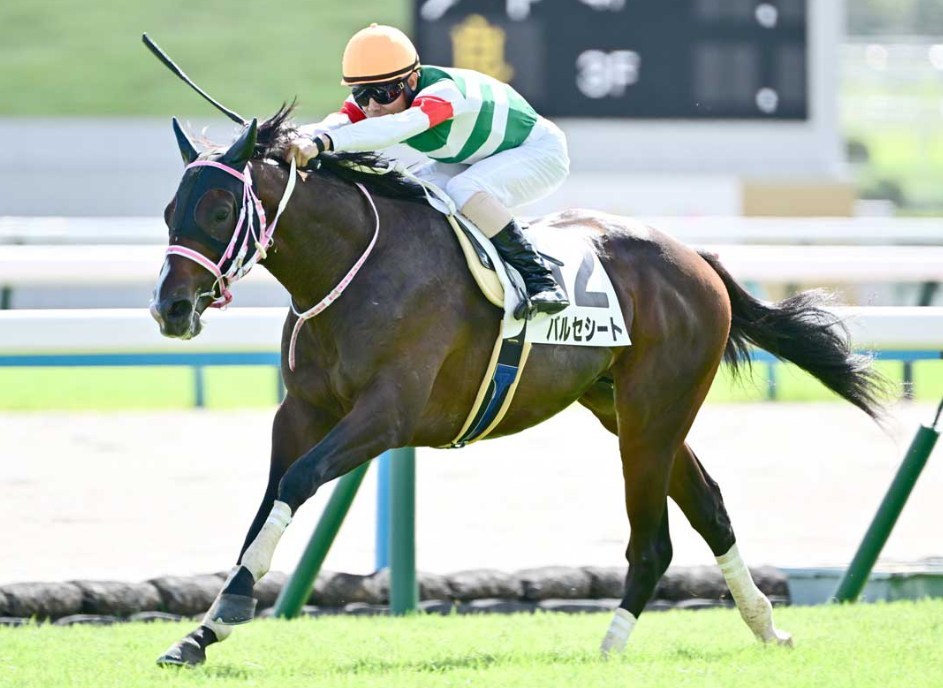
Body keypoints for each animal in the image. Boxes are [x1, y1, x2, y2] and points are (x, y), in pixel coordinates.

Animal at [150, 105, 888, 666]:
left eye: (220, 208)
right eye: (169, 208)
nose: (170, 308)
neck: (354, 267)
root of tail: (695, 257)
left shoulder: (387, 415)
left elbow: (299, 481)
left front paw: (233, 607)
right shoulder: (301, 411)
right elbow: (268, 501)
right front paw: (203, 631)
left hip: (653, 412)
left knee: (654, 541)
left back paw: (610, 646)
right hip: (625, 409)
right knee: (709, 507)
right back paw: (766, 625)